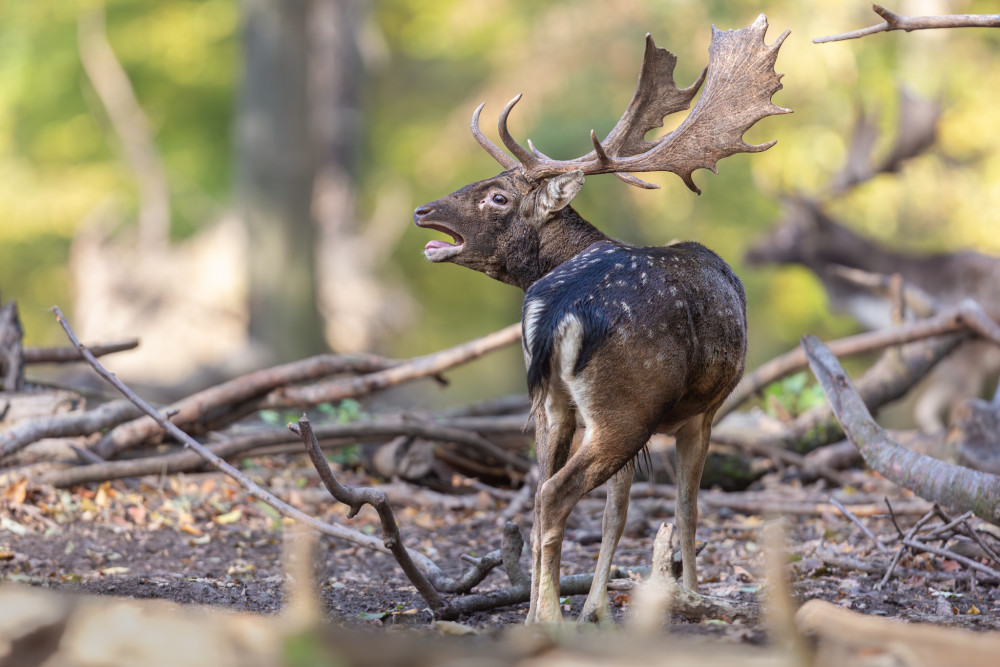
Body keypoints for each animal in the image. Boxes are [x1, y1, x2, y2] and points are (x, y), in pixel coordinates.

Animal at [413, 15, 789, 624]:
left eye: (497, 196)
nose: (422, 211)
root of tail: (561, 308)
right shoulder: (703, 410)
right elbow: (687, 507)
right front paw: (692, 595)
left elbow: (618, 510)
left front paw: (598, 606)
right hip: (626, 402)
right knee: (555, 493)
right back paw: (550, 616)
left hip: (558, 404)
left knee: (541, 491)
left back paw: (535, 613)